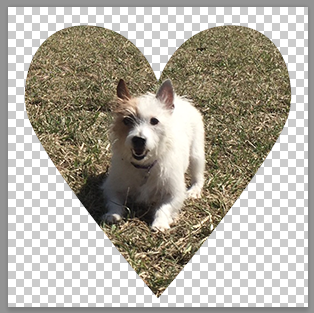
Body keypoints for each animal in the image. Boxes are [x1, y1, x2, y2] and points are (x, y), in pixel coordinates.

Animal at [101, 78, 206, 229]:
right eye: (127, 120)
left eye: (154, 121)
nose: (138, 139)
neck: (145, 166)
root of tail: (180, 100)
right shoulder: (112, 187)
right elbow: (114, 202)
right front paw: (113, 215)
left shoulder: (174, 194)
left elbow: (164, 207)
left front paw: (160, 223)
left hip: (197, 155)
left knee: (198, 175)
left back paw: (194, 190)